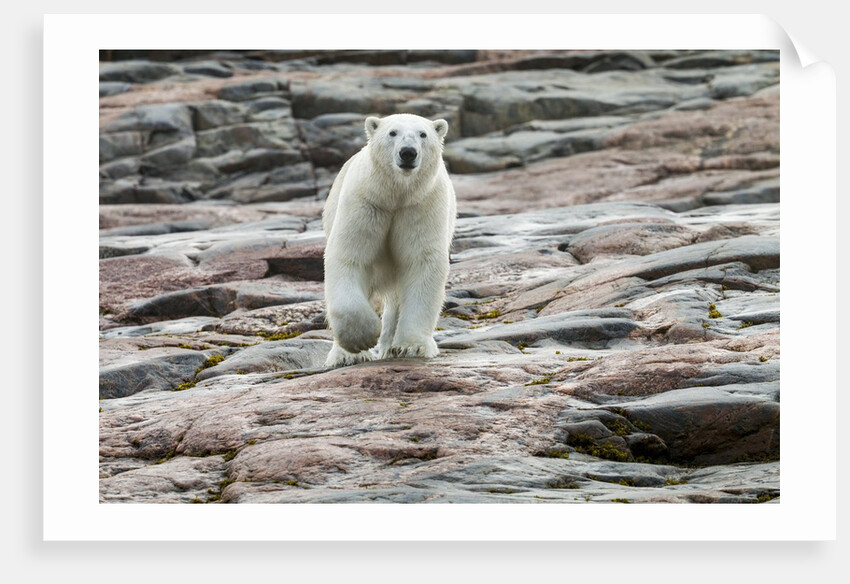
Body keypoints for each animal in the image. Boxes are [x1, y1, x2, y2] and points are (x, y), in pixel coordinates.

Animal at [322, 113, 456, 368]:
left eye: (423, 134)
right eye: (392, 132)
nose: (408, 153)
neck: (395, 195)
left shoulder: (420, 205)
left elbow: (421, 261)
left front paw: (411, 346)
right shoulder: (367, 202)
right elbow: (349, 256)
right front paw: (359, 341)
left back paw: (388, 346)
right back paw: (345, 355)